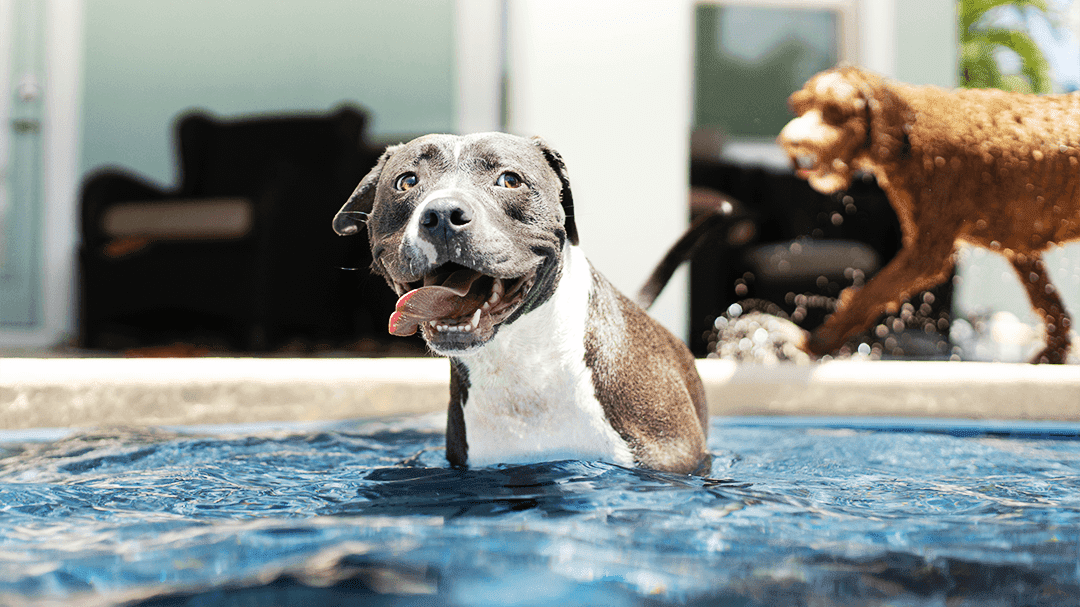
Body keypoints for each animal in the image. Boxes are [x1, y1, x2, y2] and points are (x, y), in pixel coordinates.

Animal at [777, 65, 1080, 360]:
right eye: (799, 107)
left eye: (836, 112)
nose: (792, 144)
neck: (907, 131)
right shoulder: (1018, 248)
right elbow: (1052, 308)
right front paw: (1050, 356)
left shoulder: (928, 253)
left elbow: (870, 295)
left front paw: (816, 341)